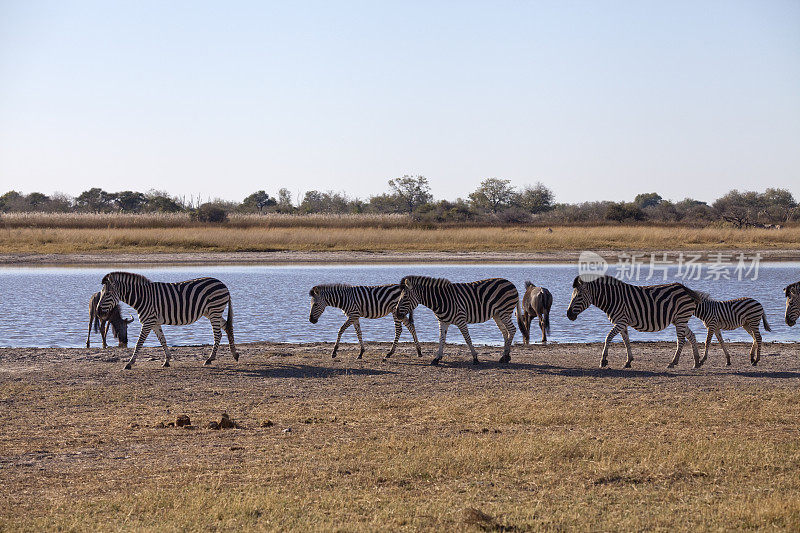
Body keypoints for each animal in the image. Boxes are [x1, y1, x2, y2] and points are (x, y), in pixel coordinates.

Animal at [95, 272, 236, 368]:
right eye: (101, 293)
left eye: (107, 294)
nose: (98, 312)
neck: (142, 297)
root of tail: (223, 284)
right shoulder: (154, 322)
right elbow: (162, 340)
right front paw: (167, 360)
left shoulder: (148, 321)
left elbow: (139, 343)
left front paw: (130, 363)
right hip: (211, 312)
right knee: (227, 327)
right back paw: (235, 354)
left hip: (214, 310)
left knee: (218, 334)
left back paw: (210, 359)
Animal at [564, 276, 700, 368]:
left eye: (579, 296)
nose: (568, 314)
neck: (612, 298)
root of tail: (683, 288)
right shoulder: (622, 323)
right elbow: (626, 341)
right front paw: (628, 361)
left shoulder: (621, 321)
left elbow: (608, 337)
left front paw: (603, 360)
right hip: (678, 319)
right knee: (691, 336)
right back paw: (697, 362)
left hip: (681, 318)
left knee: (681, 340)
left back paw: (673, 362)